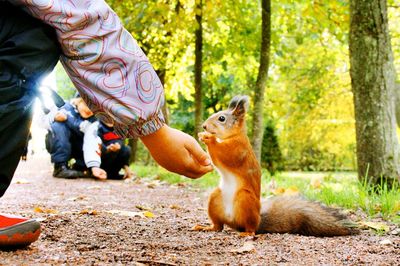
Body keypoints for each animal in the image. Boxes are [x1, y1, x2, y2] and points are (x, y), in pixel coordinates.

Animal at [194, 95, 356, 237]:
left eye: (222, 118)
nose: (204, 126)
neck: (233, 136)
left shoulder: (238, 150)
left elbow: (224, 155)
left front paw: (209, 138)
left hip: (245, 200)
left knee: (250, 228)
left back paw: (246, 233)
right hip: (215, 199)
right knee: (218, 226)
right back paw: (206, 227)